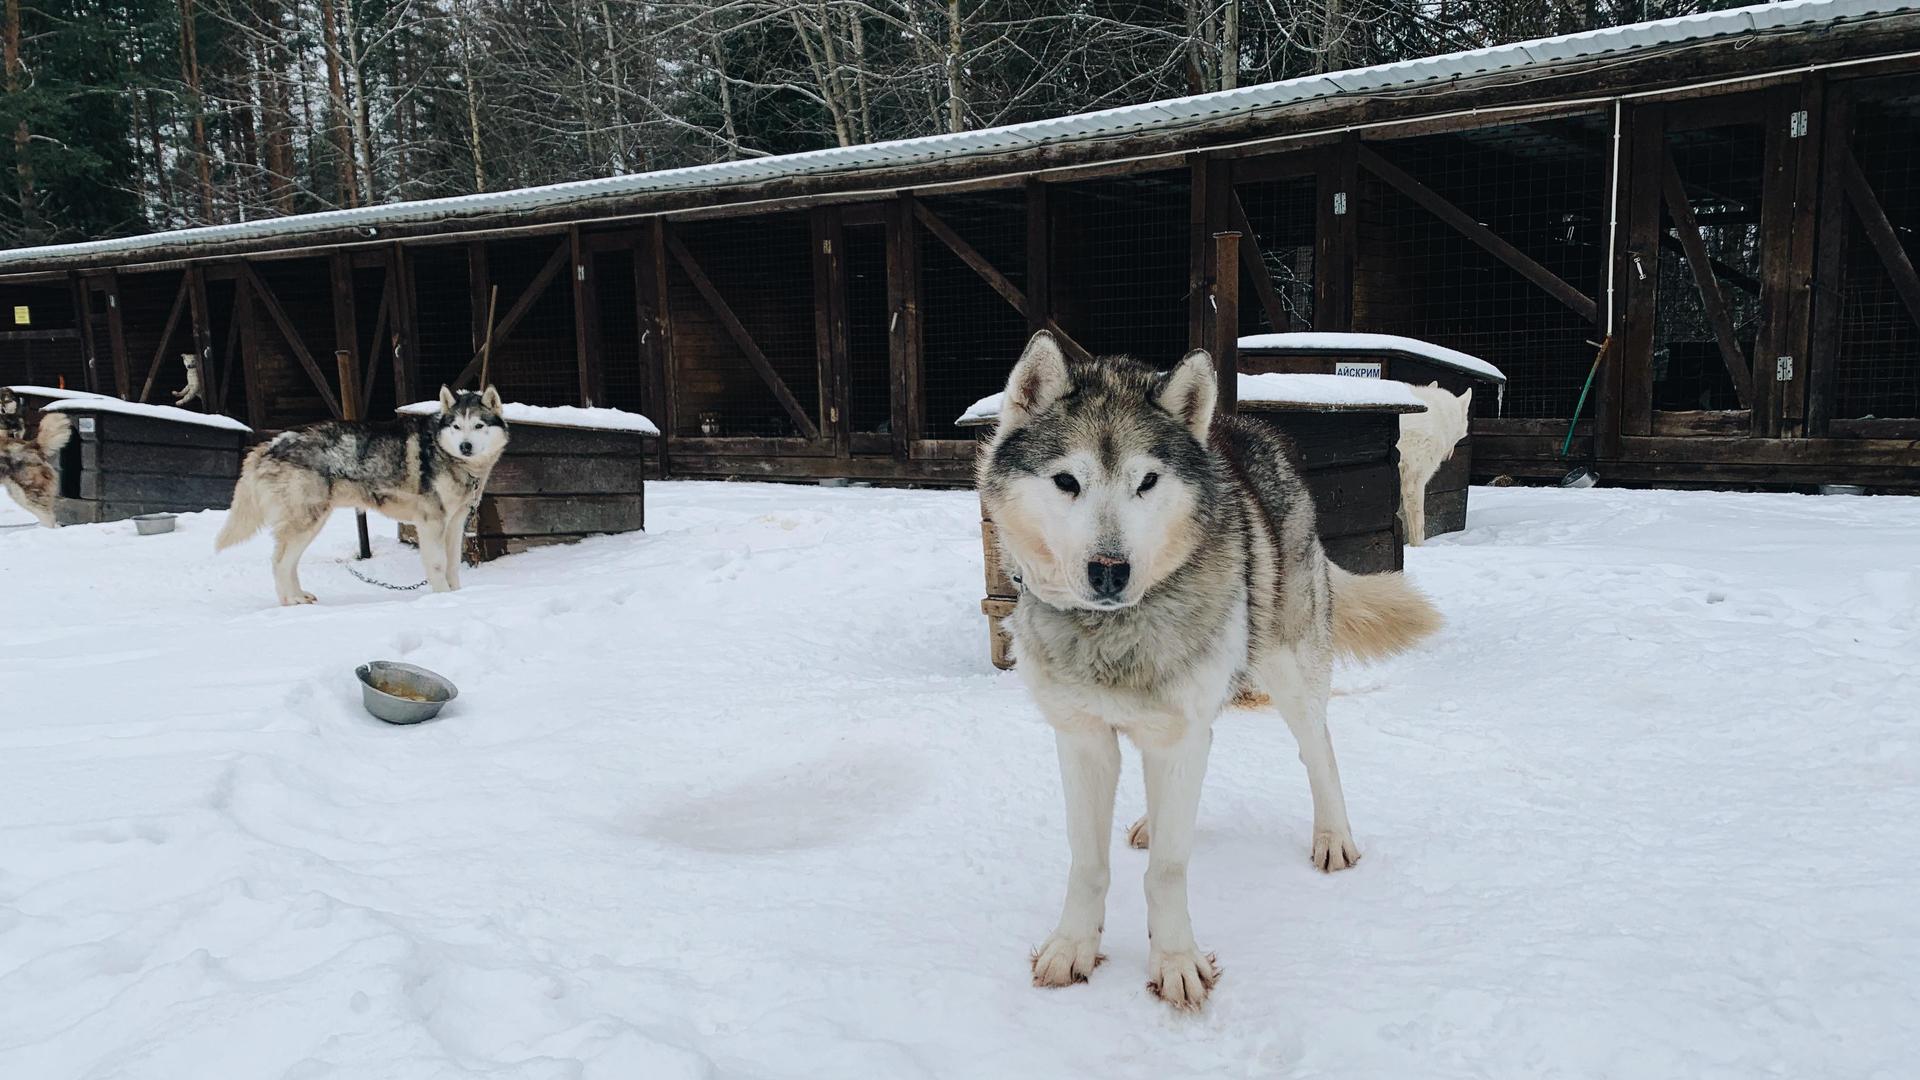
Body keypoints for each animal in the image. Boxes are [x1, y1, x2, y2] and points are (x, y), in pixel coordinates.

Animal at [216, 386, 510, 607]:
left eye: (479, 425)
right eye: (457, 426)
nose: (465, 446)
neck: (446, 454)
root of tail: (270, 444)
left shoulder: (455, 523)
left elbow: (453, 565)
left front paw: (458, 596)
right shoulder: (431, 522)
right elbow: (438, 565)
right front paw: (443, 599)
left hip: (312, 523)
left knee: (289, 562)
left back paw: (300, 596)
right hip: (306, 521)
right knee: (279, 562)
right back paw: (291, 601)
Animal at [990, 330, 1443, 1006]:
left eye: (1147, 482)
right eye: (1067, 480)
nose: (1109, 571)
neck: (1114, 635)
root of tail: (1242, 431)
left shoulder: (1179, 736)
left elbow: (1168, 870)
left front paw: (1175, 963)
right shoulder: (1082, 739)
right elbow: (1088, 862)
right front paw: (1073, 948)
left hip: (1290, 671)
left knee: (1319, 751)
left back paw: (1333, 837)